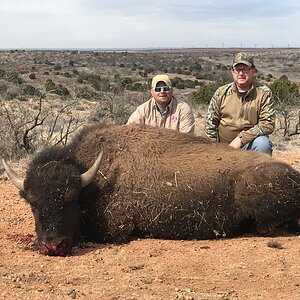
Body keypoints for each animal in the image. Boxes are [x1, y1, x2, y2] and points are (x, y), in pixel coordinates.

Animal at [2, 123, 300, 256]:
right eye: (32, 203)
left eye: (70, 199)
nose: (52, 245)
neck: (92, 178)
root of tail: (295, 177)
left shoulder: (115, 230)